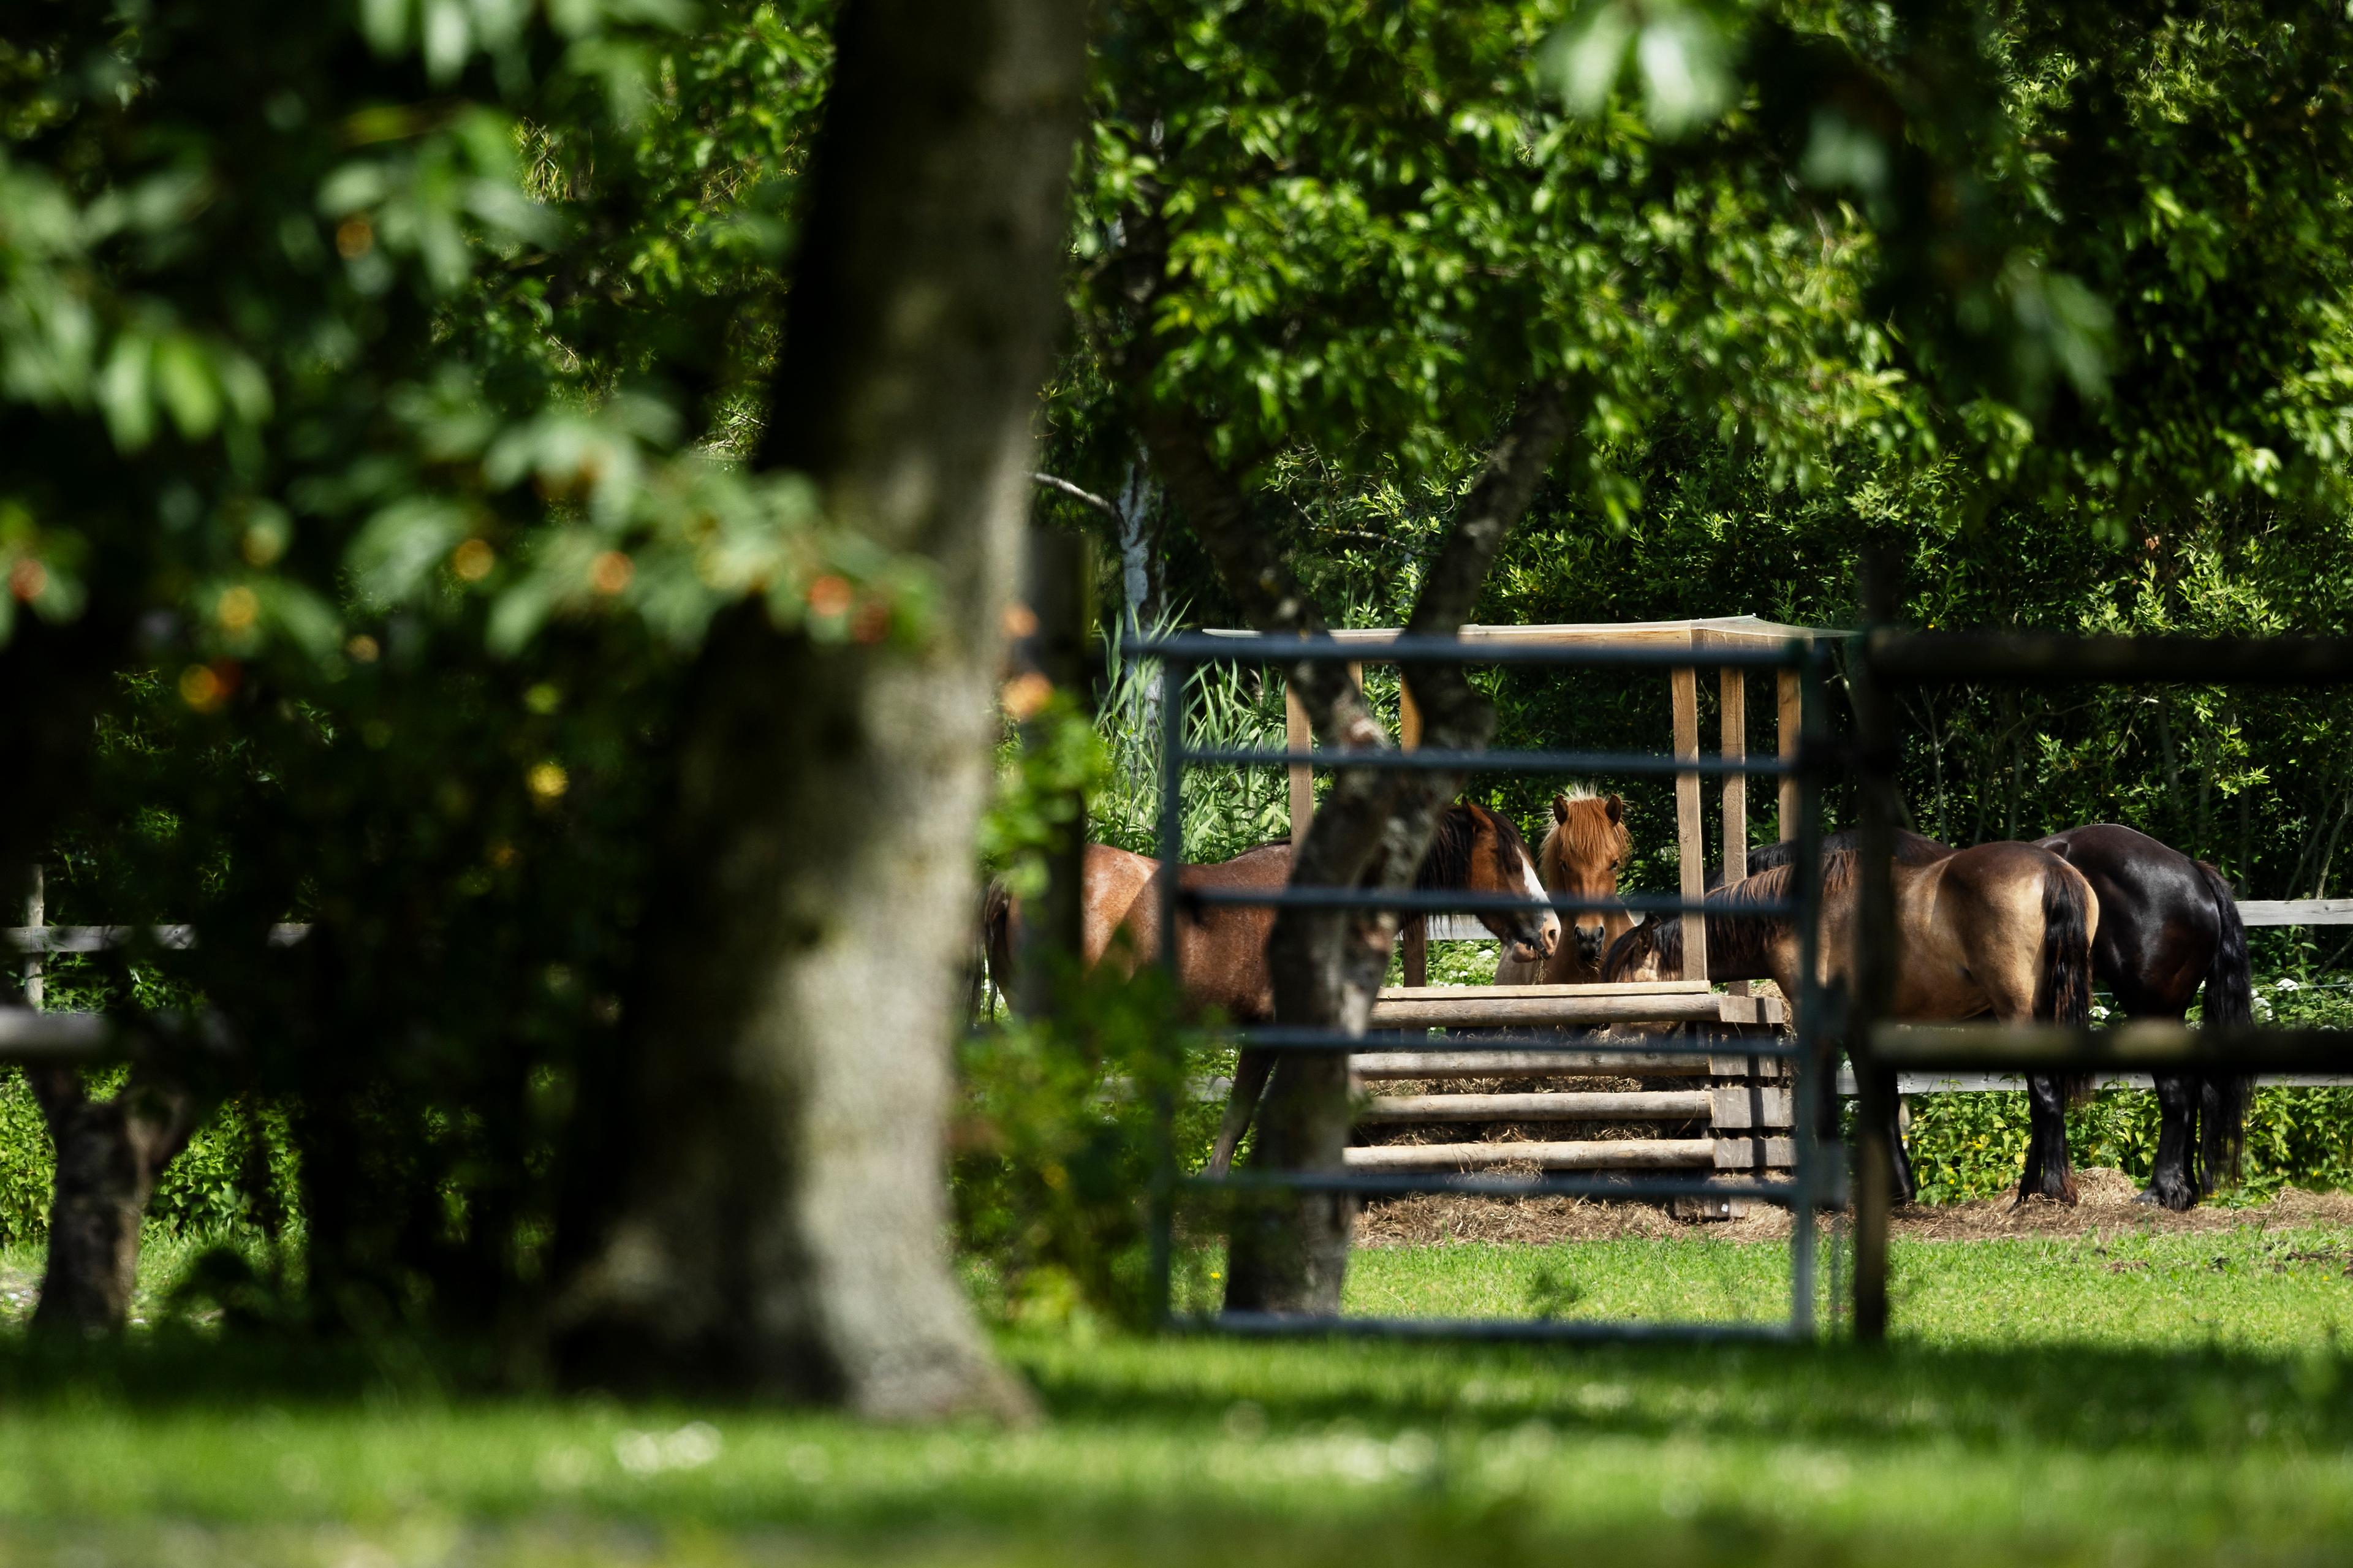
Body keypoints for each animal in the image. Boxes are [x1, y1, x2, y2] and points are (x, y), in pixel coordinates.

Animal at [1609, 819, 2249, 1205]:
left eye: (1626, 972)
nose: (1610, 1038)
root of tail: (2192, 869)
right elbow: (1886, 1103)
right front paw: (1900, 1190)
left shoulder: (1829, 1030)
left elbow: (1831, 1107)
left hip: (2128, 1012)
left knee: (2139, 1094)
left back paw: (2107, 1189)